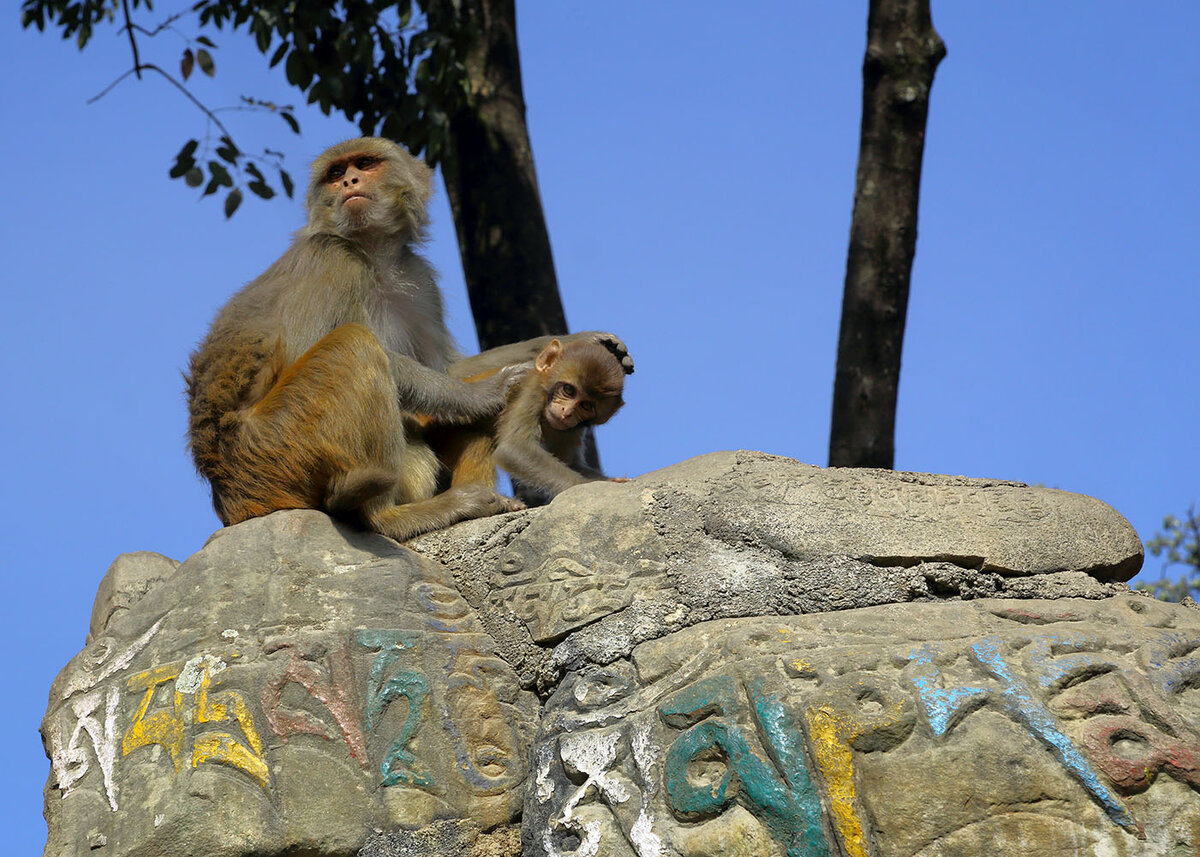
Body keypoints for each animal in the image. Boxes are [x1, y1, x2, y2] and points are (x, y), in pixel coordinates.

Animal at [439, 338, 628, 501]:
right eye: (568, 390)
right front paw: (586, 485)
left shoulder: (571, 428)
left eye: (586, 406)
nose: (566, 412)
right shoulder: (531, 391)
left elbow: (569, 462)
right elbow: (513, 449)